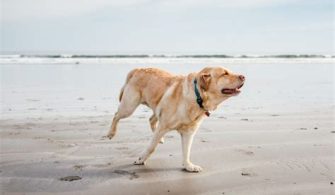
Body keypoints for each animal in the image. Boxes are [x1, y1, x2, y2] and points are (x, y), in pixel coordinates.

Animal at [106, 67, 245, 172]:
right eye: (225, 73)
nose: (243, 76)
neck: (197, 97)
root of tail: (137, 69)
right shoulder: (163, 126)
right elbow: (151, 147)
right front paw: (141, 159)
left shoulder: (189, 132)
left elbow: (187, 151)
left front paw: (188, 166)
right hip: (129, 106)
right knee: (116, 115)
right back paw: (111, 133)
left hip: (156, 106)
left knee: (151, 119)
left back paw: (160, 138)